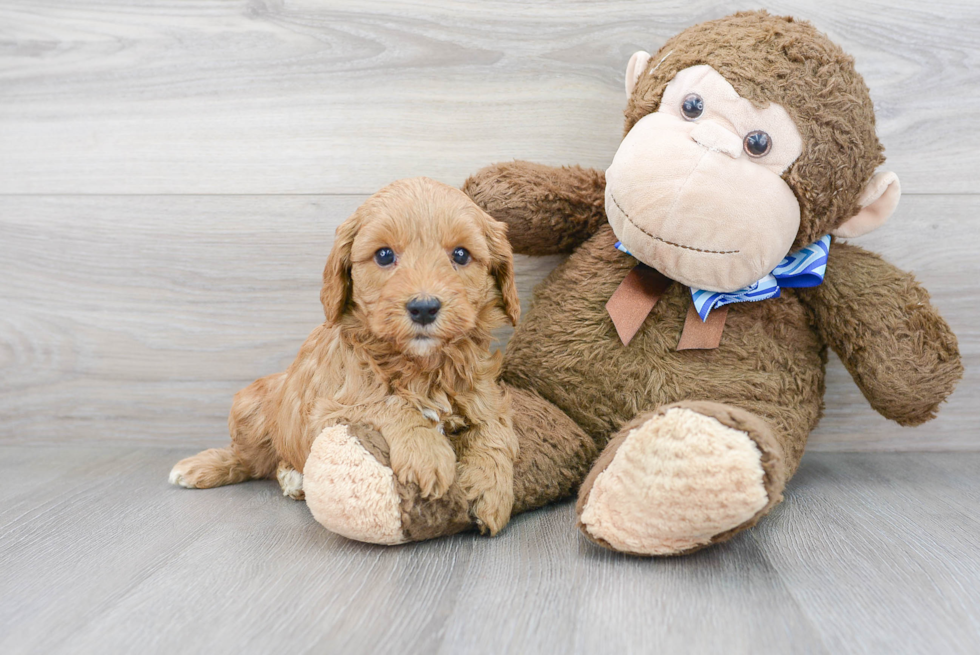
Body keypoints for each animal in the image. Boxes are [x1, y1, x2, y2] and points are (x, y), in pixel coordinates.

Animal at [170, 177, 520, 536]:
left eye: (461, 254)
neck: (420, 365)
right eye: (384, 255)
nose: (424, 308)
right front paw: (428, 453)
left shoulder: (483, 393)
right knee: (248, 459)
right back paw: (204, 467)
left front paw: (492, 490)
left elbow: (495, 430)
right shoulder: (328, 411)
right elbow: (387, 403)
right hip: (250, 406)